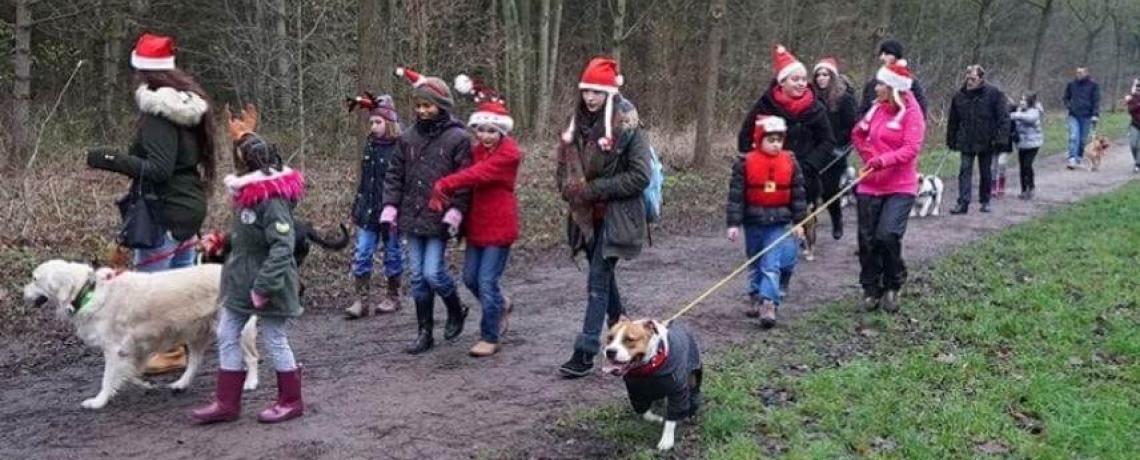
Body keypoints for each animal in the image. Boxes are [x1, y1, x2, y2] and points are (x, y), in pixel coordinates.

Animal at [21, 258, 258, 409]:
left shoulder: (114, 348)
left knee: (252, 358)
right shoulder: (134, 348)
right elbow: (131, 372)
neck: (87, 291)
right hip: (195, 332)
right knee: (195, 361)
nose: (21, 293)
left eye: (35, 279)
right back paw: (181, 384)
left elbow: (108, 378)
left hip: (233, 328)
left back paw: (251, 382)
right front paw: (144, 384)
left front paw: (99, 401)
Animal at [601, 318, 697, 450]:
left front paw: (667, 440)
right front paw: (655, 418)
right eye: (610, 338)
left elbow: (671, 418)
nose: (610, 351)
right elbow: (643, 410)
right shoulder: (636, 393)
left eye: (629, 339)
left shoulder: (677, 392)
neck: (648, 368)